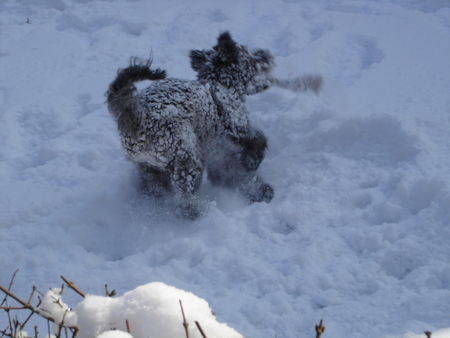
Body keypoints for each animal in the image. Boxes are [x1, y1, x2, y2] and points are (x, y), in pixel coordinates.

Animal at [106, 32, 320, 219]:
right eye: (252, 56)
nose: (267, 54)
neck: (221, 84)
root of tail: (136, 115)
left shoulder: (218, 153)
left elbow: (232, 173)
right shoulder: (237, 129)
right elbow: (257, 143)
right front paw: (255, 170)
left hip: (148, 165)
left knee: (155, 186)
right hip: (186, 157)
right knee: (186, 200)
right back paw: (203, 212)